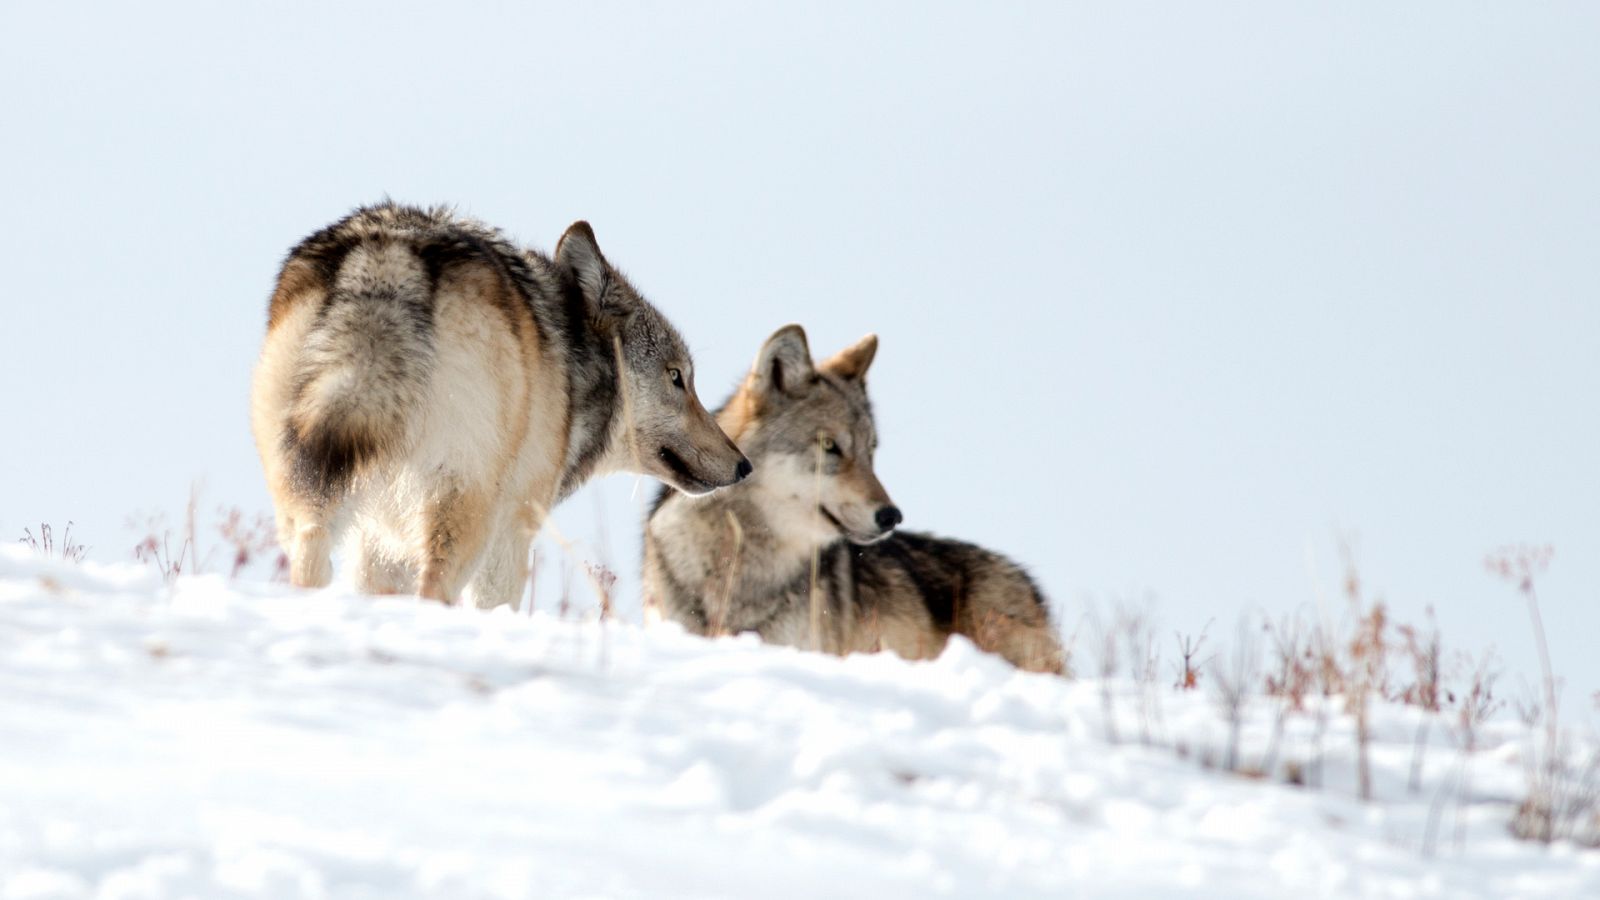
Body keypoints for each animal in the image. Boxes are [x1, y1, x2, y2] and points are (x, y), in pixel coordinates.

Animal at [251, 200, 748, 605]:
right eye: (677, 377)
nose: (743, 465)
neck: (570, 370)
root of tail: (391, 250)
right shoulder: (512, 534)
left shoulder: (378, 545)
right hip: (462, 512)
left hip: (307, 501)